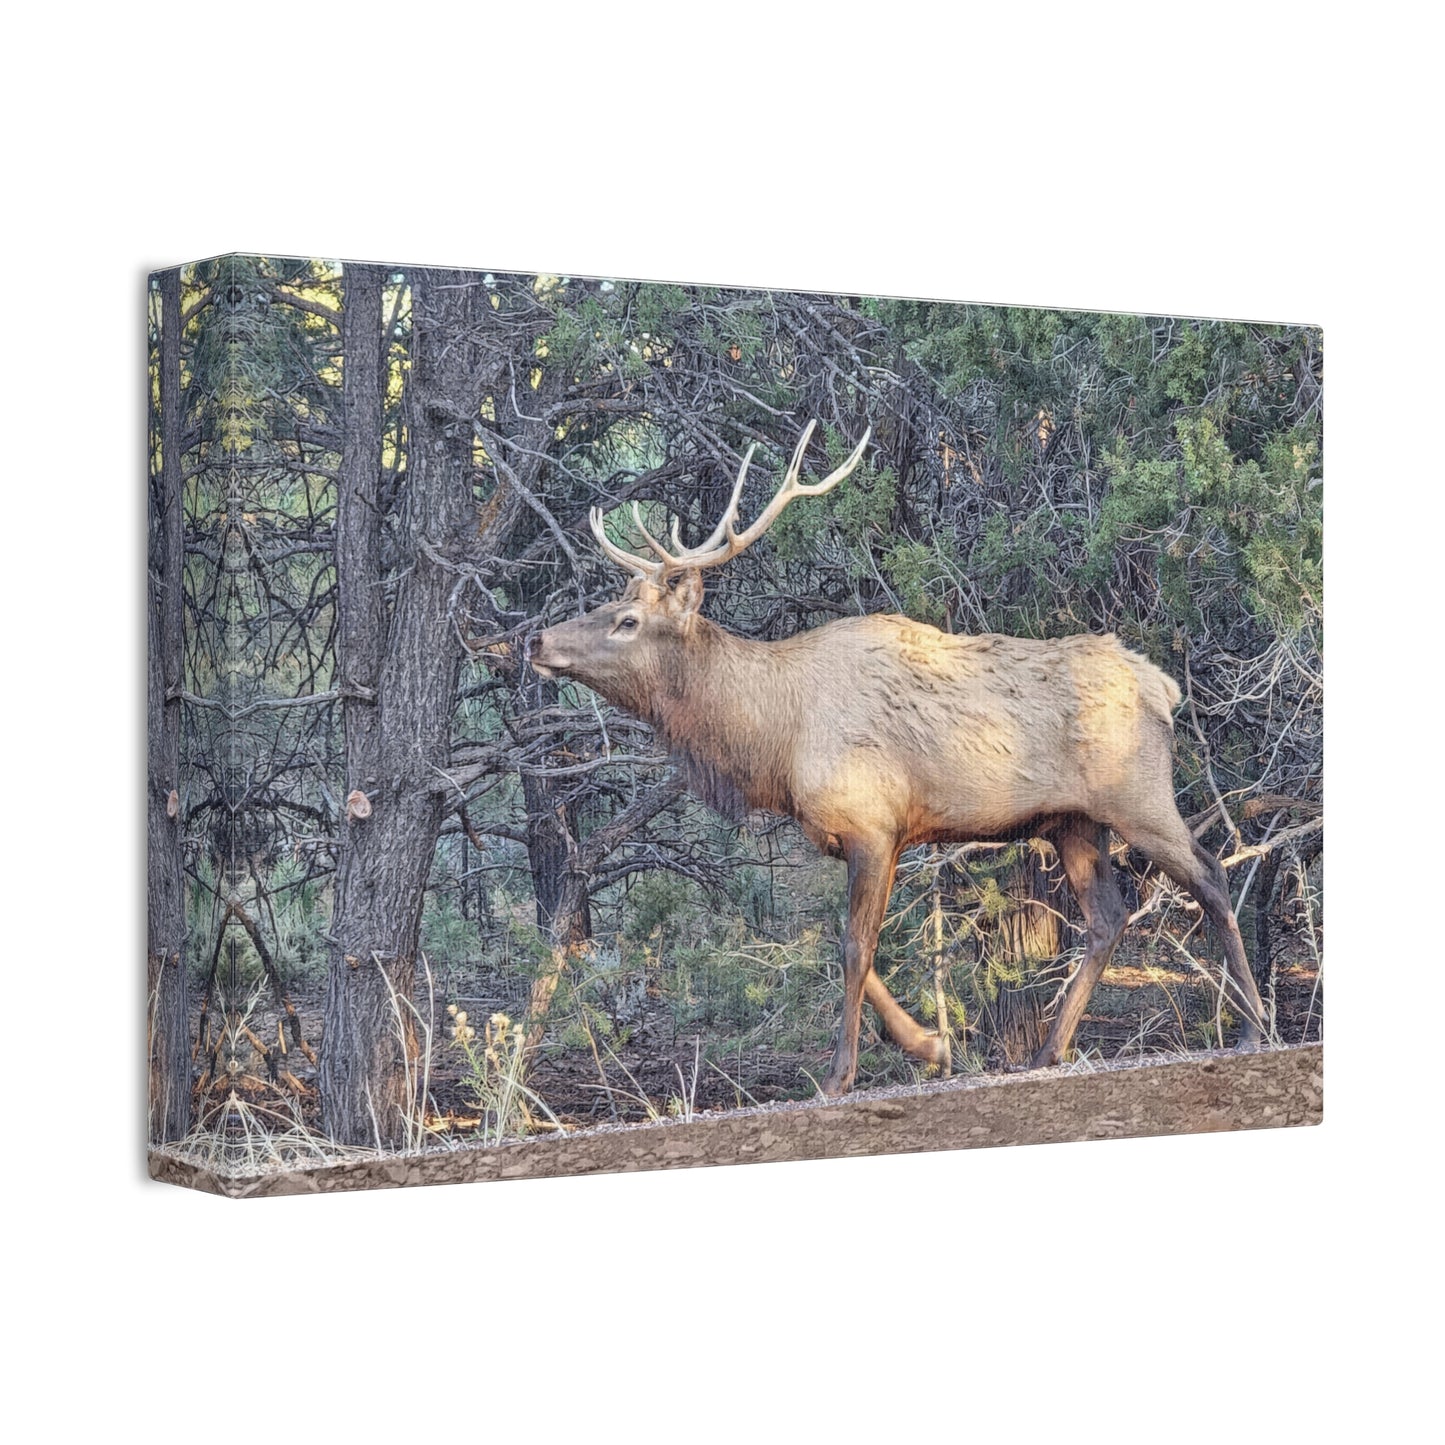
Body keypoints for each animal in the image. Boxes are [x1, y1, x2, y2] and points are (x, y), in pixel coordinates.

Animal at [526, 422, 1267, 1097]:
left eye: (626, 621)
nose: (536, 638)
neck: (774, 742)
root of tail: (1161, 685)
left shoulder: (872, 824)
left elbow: (854, 948)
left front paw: (840, 1074)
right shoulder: (857, 834)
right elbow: (856, 950)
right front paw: (933, 1045)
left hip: (1136, 796)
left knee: (1209, 875)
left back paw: (1253, 1027)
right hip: (1071, 821)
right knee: (1107, 917)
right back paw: (1046, 1049)